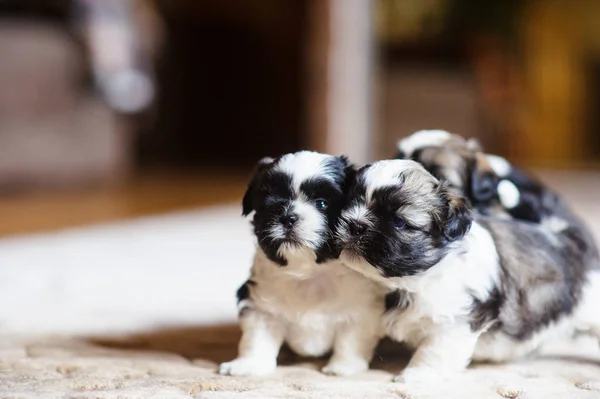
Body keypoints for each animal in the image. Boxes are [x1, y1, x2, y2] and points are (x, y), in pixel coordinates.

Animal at [220, 151, 384, 378]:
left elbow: (351, 339)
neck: (309, 274)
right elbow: (256, 338)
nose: (288, 217)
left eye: (322, 203)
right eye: (270, 200)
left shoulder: (362, 309)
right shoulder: (260, 306)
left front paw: (343, 367)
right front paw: (249, 365)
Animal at [336, 159, 600, 384]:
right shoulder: (368, 310)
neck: (408, 281)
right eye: (350, 204)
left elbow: (434, 350)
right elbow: (354, 337)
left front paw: (417, 375)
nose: (355, 224)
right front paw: (344, 367)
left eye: (398, 222)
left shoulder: (456, 321)